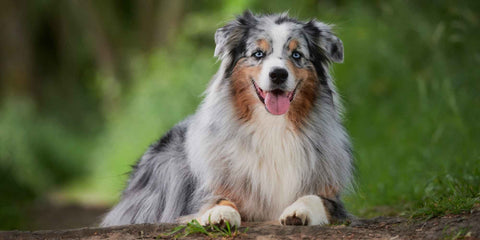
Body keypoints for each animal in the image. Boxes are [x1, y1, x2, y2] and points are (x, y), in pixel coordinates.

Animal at [101, 11, 354, 228]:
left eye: (297, 55)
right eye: (258, 54)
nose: (278, 74)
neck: (272, 125)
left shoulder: (332, 197)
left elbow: (316, 198)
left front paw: (298, 210)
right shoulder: (205, 191)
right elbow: (217, 199)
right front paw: (220, 214)